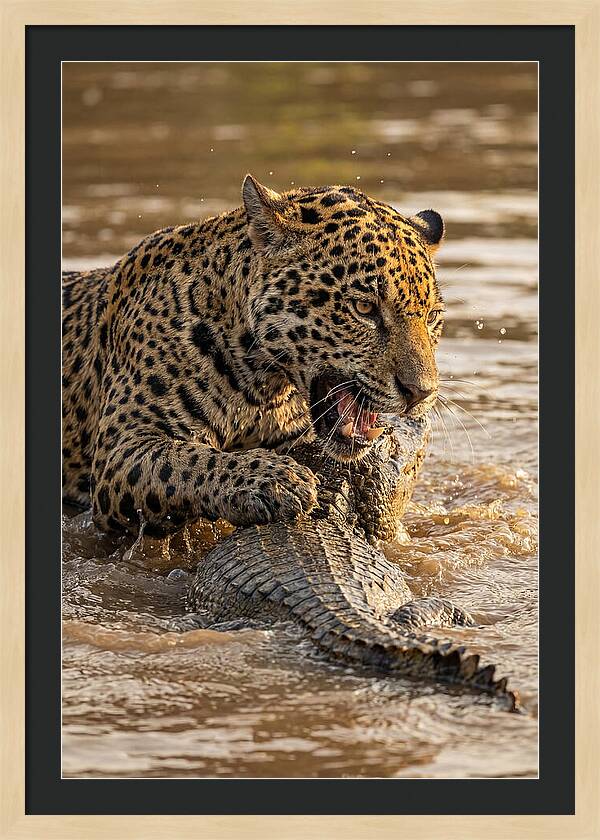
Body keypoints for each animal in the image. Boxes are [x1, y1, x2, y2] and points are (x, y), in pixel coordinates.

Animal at [62, 175, 445, 536]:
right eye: (364, 308)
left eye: (431, 317)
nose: (421, 393)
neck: (262, 385)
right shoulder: (122, 448)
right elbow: (186, 460)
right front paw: (275, 480)